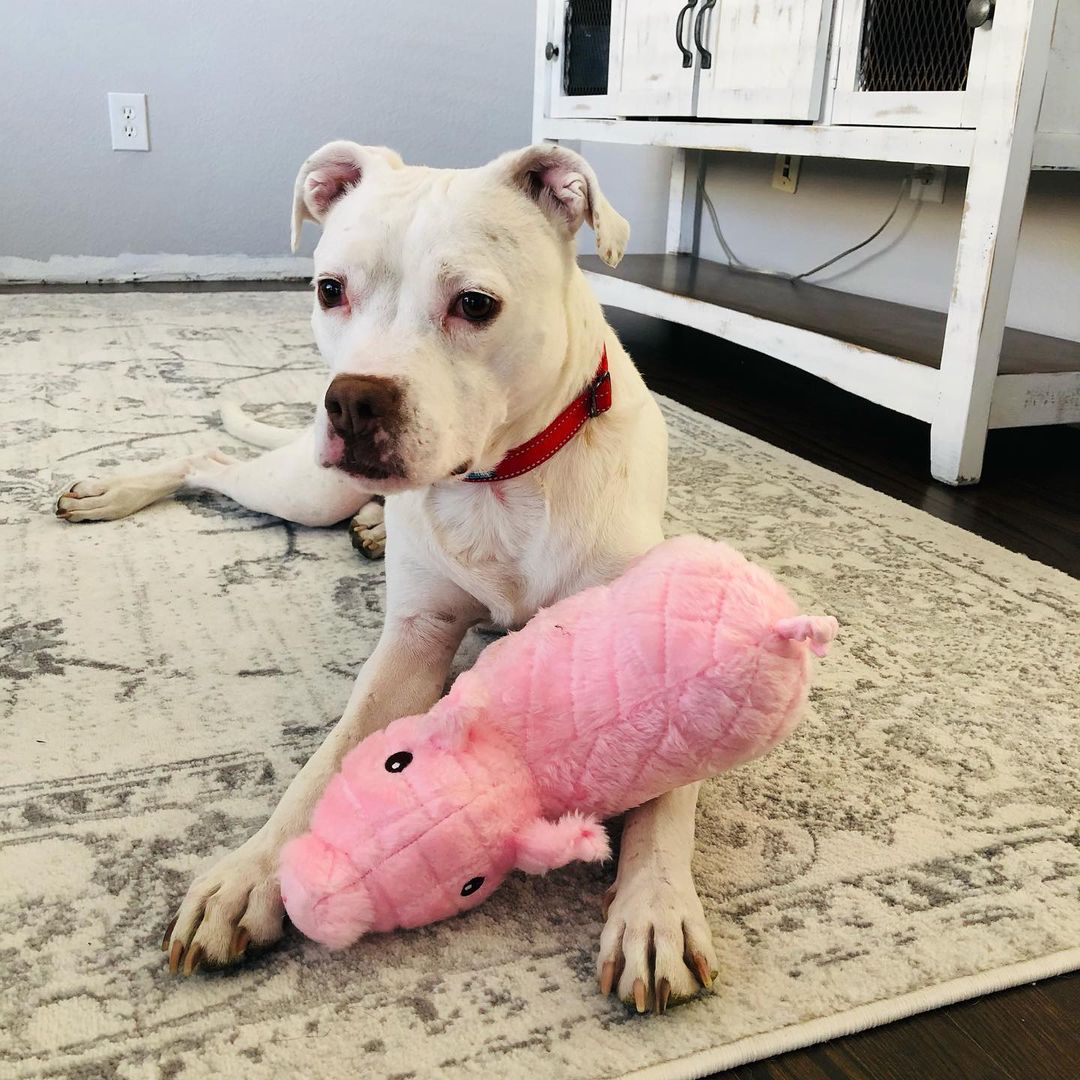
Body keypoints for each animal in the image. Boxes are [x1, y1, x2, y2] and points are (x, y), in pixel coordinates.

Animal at [56, 141, 717, 1010]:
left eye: (475, 304)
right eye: (329, 289)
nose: (351, 402)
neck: (500, 485)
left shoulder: (658, 636)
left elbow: (669, 799)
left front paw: (655, 908)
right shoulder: (412, 644)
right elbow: (331, 757)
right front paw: (251, 871)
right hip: (307, 487)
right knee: (207, 458)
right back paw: (119, 490)